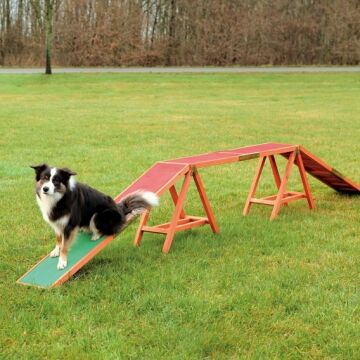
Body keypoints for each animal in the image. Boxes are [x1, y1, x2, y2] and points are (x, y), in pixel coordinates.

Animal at [31, 165, 159, 268]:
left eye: (56, 180)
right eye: (44, 178)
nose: (45, 189)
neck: (58, 198)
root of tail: (120, 209)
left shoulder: (70, 224)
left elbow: (65, 246)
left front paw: (62, 262)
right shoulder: (56, 223)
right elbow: (58, 239)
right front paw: (56, 251)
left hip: (98, 215)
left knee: (103, 229)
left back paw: (95, 235)